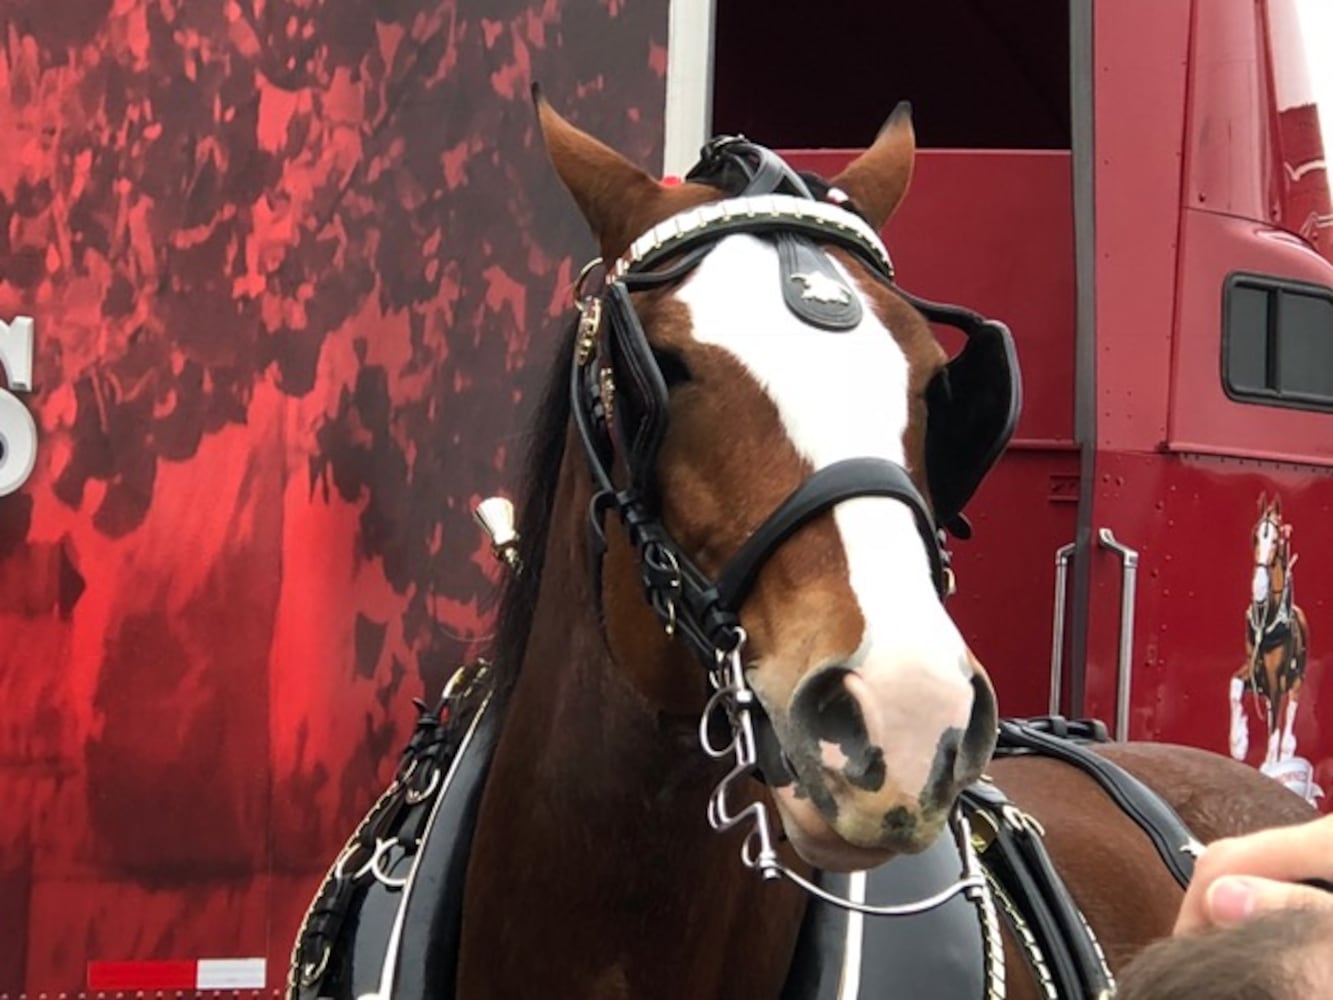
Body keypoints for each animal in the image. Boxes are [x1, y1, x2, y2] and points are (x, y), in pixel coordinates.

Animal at [1226, 498, 1311, 773]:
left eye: (1276, 539)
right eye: (1255, 536)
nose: (1260, 587)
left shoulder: (1276, 681)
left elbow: (1275, 727)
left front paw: (1270, 764)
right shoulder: (1254, 672)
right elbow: (1234, 689)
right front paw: (1238, 744)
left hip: (1296, 683)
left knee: (1288, 718)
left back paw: (1285, 753)